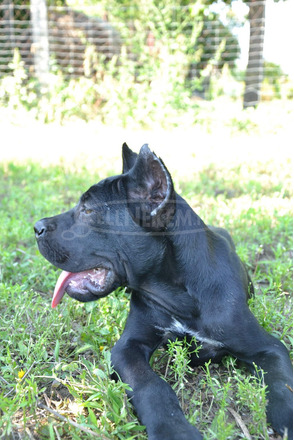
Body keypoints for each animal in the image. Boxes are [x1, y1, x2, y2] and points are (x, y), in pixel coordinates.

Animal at [34, 145, 292, 440]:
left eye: (87, 210)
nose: (36, 227)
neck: (178, 293)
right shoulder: (128, 347)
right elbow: (150, 385)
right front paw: (174, 429)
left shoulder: (267, 346)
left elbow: (282, 383)